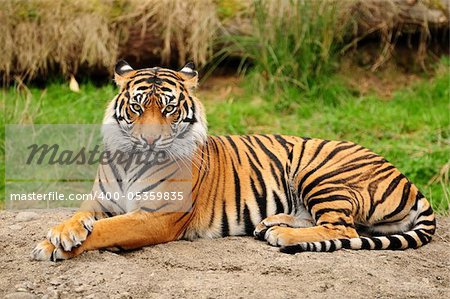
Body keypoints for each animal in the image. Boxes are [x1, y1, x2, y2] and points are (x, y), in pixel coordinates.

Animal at [31, 59, 436, 262]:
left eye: (169, 109)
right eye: (137, 107)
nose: (149, 140)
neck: (132, 160)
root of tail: (406, 178)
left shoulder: (158, 216)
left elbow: (108, 230)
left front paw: (54, 247)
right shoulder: (100, 201)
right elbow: (79, 217)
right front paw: (60, 234)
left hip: (322, 173)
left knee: (344, 229)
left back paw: (282, 234)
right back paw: (270, 224)